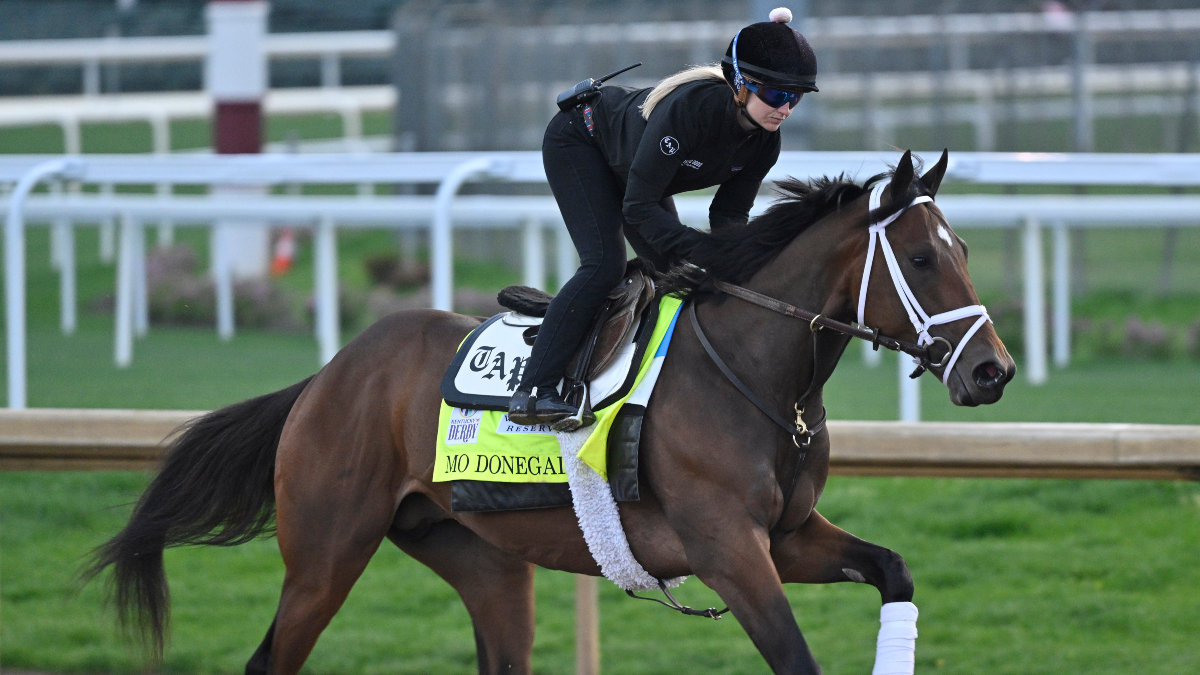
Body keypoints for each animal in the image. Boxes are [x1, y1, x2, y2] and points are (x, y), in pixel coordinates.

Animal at [88, 150, 1015, 675]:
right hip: (324, 553)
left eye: (966, 249)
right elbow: (795, 657)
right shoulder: (727, 547)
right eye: (923, 257)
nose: (993, 371)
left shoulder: (785, 536)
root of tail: (328, 375)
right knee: (271, 656)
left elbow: (893, 568)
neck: (754, 372)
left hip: (483, 559)